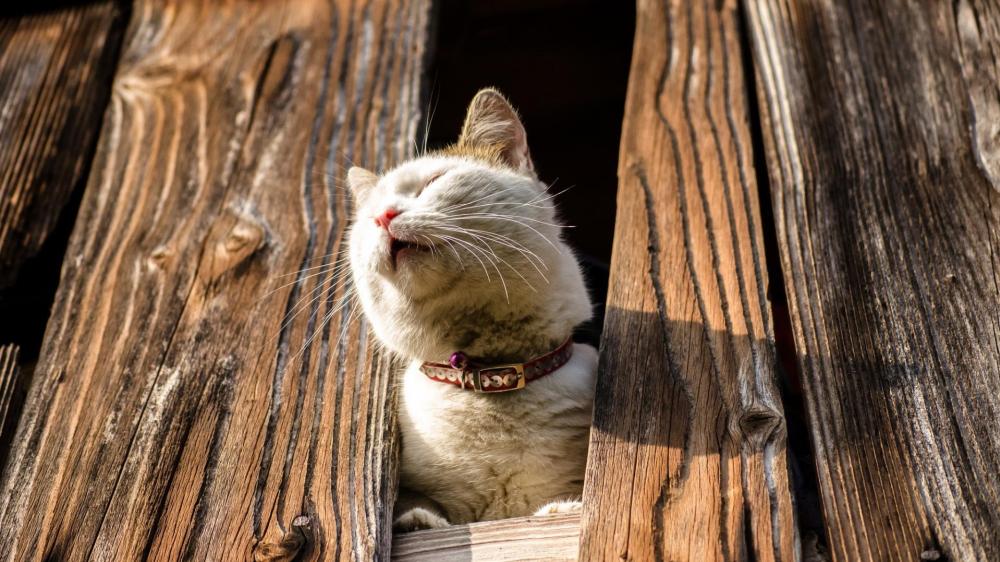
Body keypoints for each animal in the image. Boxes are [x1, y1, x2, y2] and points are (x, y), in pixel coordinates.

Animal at [346, 87, 592, 528]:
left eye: (433, 181)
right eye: (368, 216)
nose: (383, 216)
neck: (489, 376)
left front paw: (562, 510)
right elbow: (419, 507)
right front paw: (418, 520)